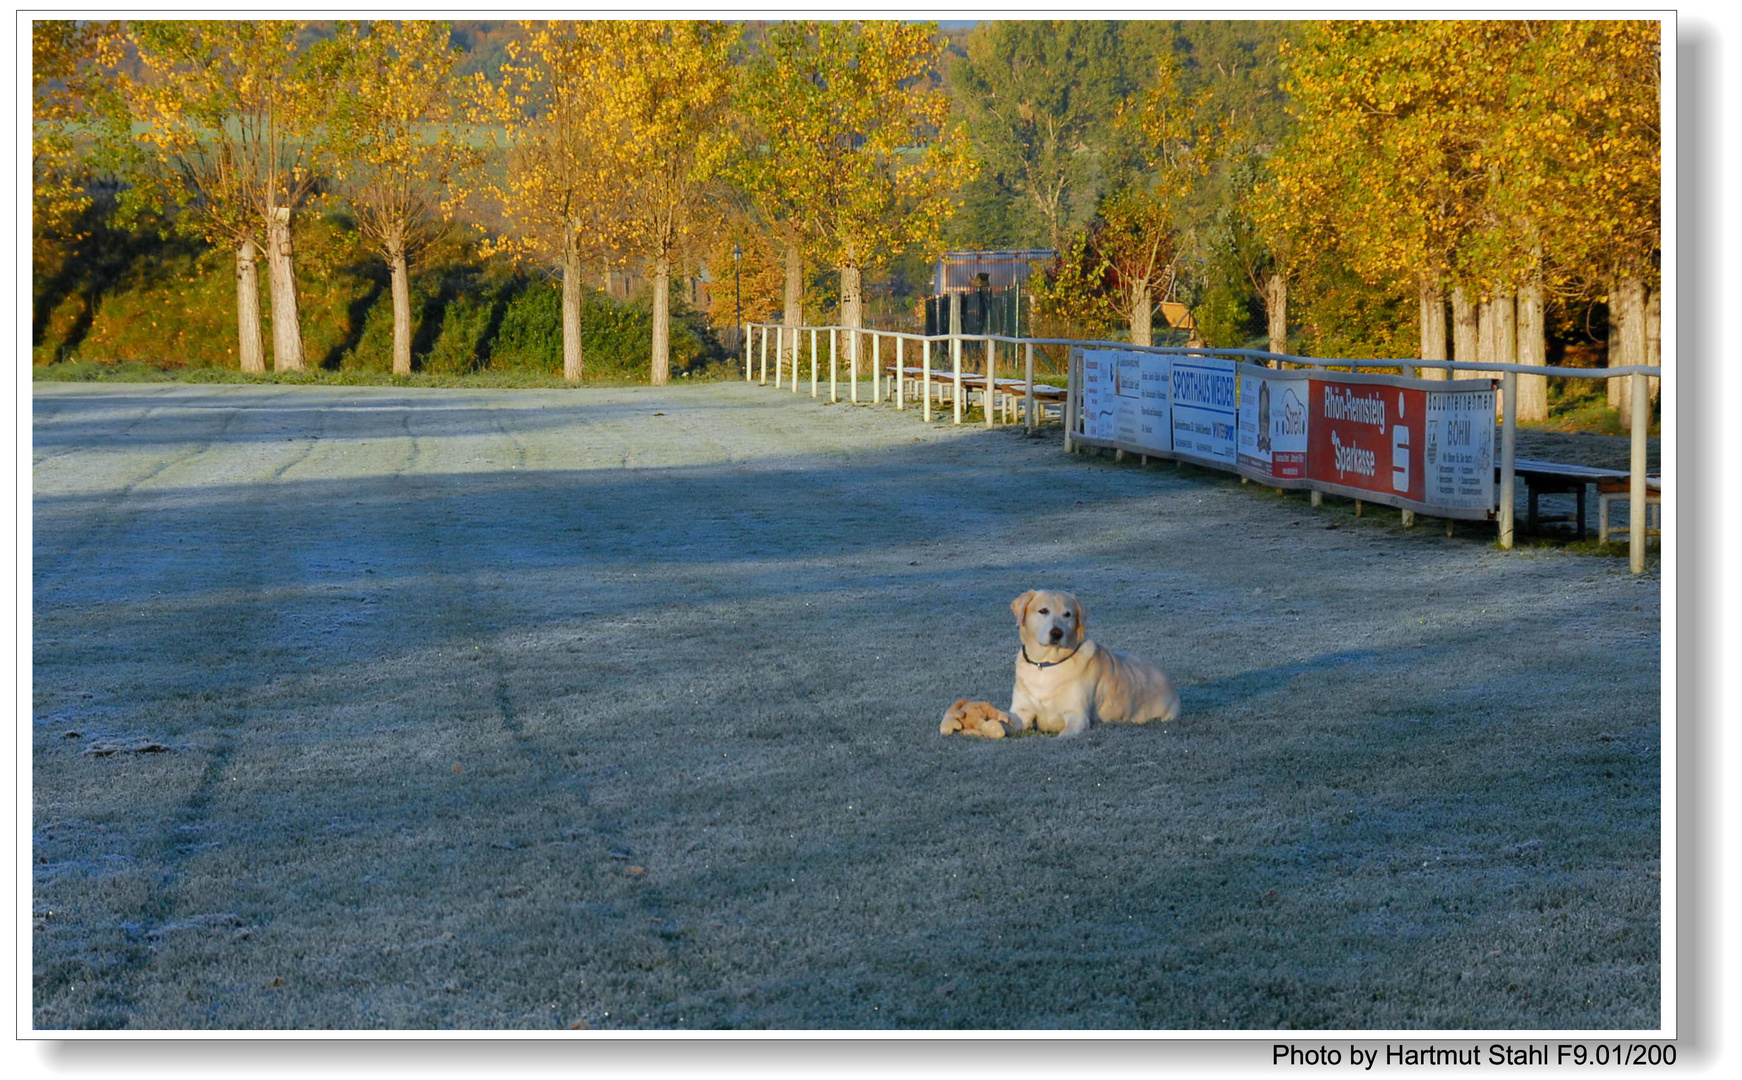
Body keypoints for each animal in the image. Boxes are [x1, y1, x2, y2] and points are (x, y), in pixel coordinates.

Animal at [1010, 592, 1184, 735]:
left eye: (1068, 614)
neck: (1046, 664)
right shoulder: (1021, 712)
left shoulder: (1077, 717)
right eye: (1043, 611)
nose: (1057, 633)